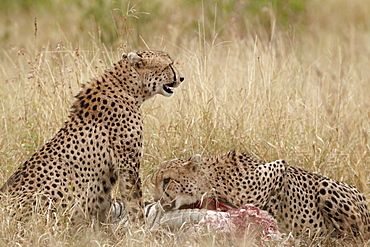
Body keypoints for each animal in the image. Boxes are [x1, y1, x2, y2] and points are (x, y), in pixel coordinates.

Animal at [0, 50, 184, 224]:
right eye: (169, 65)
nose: (181, 78)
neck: (127, 87)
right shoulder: (127, 163)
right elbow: (133, 200)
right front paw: (140, 228)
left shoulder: (107, 181)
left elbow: (105, 207)